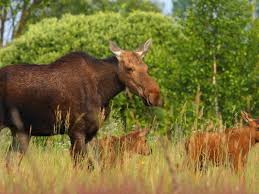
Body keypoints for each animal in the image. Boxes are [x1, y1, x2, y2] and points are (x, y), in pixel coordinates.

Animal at [0, 39, 162, 165]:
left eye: (146, 67)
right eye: (129, 68)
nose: (155, 95)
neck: (103, 92)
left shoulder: (91, 134)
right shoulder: (76, 131)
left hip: (20, 132)